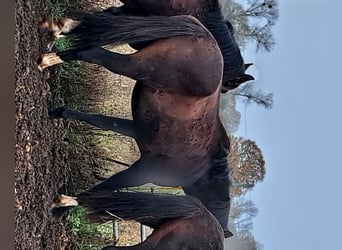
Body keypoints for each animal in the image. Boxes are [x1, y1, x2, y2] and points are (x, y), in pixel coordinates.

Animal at [38, 11, 235, 237]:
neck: (201, 169)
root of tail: (202, 33)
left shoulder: (134, 129)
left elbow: (100, 121)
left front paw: (57, 112)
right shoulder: (140, 173)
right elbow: (104, 187)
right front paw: (64, 206)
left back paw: (55, 35)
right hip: (134, 65)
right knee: (91, 52)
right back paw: (46, 60)